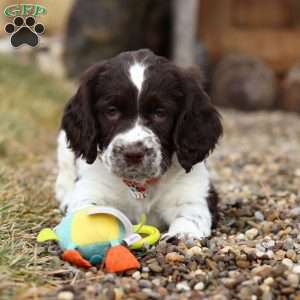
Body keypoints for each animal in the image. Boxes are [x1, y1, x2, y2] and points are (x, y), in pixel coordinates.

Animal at [55, 49, 221, 241]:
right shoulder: (91, 187)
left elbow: (191, 215)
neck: (141, 185)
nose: (133, 153)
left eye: (160, 113)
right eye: (112, 111)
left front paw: (183, 234)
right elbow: (88, 212)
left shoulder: (195, 192)